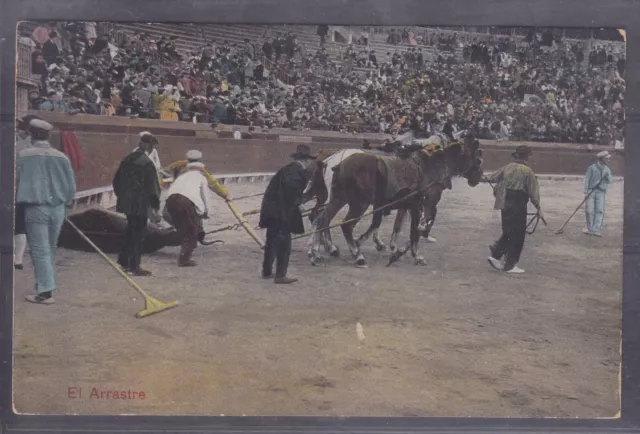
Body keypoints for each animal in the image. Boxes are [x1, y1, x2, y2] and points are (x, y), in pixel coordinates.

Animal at [308, 137, 482, 268]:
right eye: (477, 158)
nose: (477, 178)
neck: (430, 168)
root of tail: (336, 162)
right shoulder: (422, 206)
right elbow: (415, 231)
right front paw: (415, 255)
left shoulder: (405, 205)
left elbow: (397, 226)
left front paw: (393, 248)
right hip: (358, 204)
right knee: (344, 225)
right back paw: (357, 255)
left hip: (338, 199)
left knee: (322, 219)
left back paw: (317, 251)